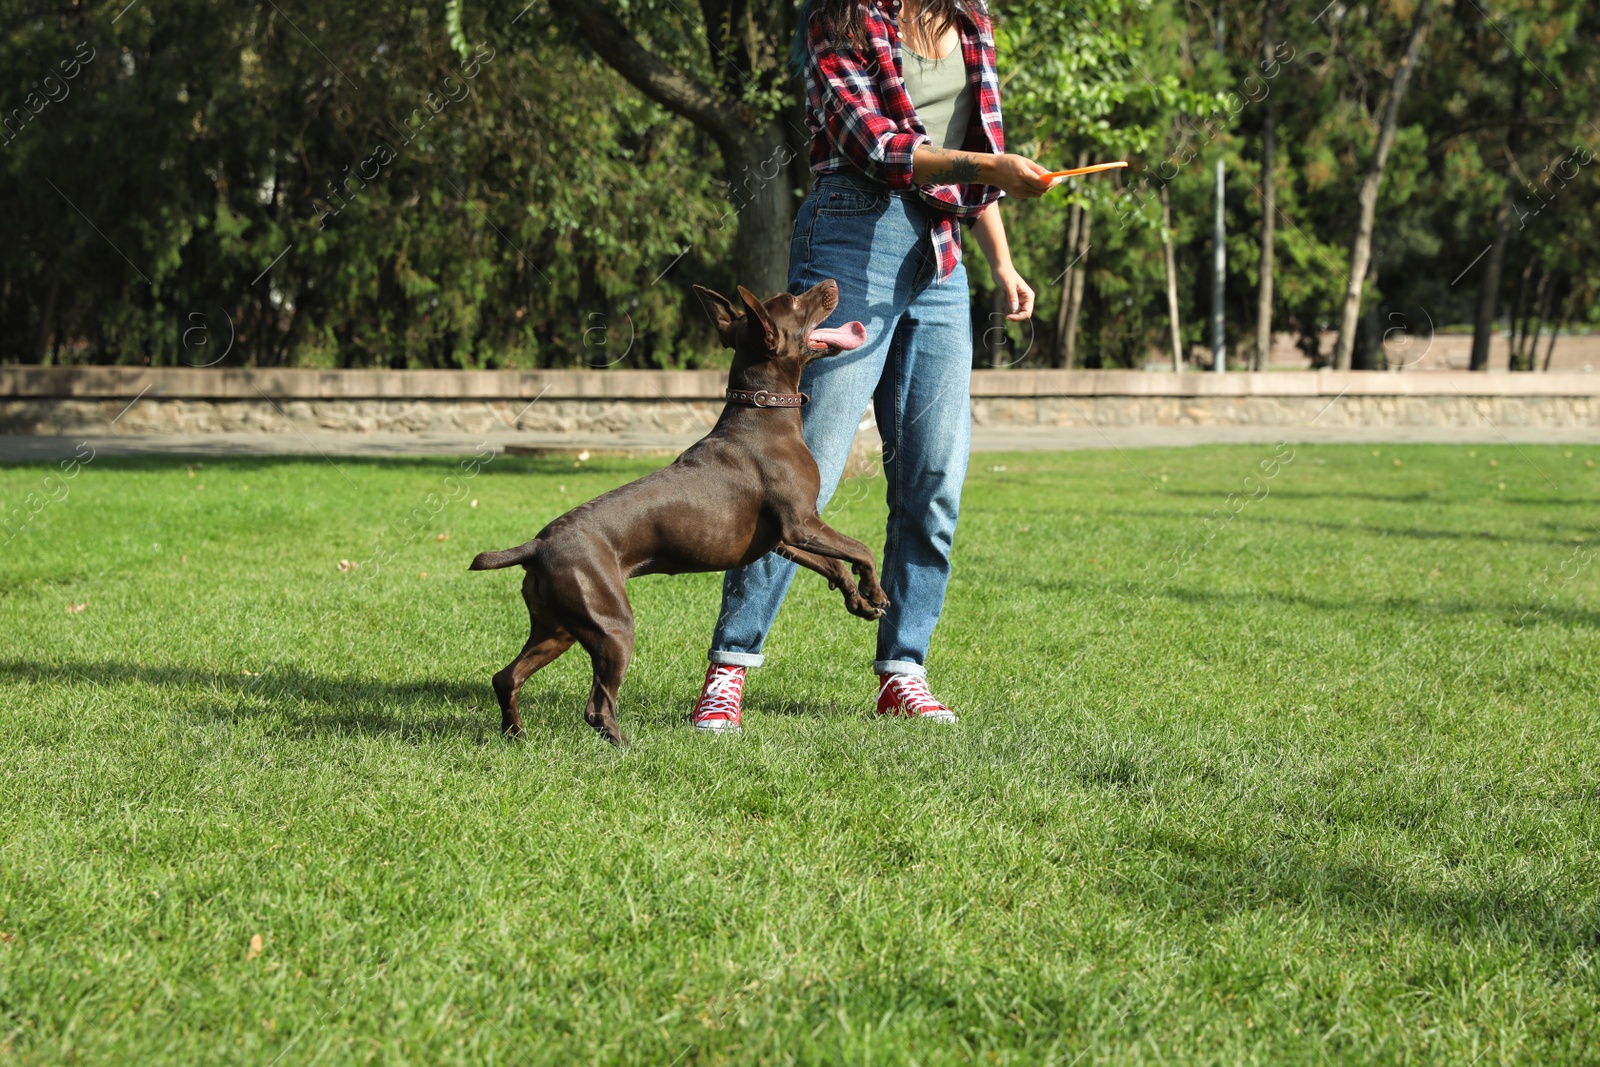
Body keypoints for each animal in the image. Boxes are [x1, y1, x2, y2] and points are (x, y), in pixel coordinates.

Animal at [464, 283, 889, 751]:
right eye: (795, 302)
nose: (831, 285)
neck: (763, 414)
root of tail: (537, 545)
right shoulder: (801, 524)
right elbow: (862, 550)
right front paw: (876, 592)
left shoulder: (784, 538)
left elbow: (835, 563)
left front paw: (859, 601)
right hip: (612, 627)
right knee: (597, 705)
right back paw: (625, 748)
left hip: (557, 628)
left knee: (506, 677)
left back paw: (516, 734)